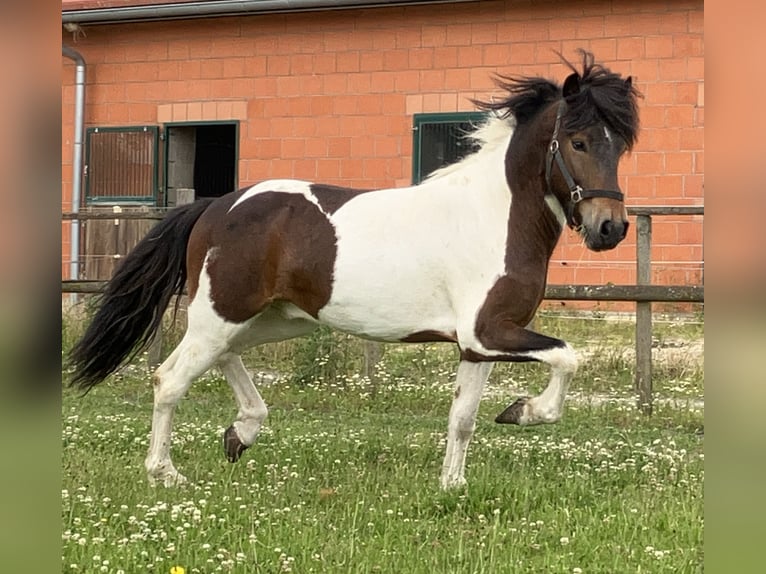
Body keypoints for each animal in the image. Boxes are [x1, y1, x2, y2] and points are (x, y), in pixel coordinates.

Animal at [69, 50, 639, 489]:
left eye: (621, 145)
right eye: (578, 142)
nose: (610, 228)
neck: (492, 214)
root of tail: (215, 208)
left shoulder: (479, 343)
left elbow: (463, 418)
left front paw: (453, 485)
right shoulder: (490, 331)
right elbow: (568, 358)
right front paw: (522, 411)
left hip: (268, 319)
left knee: (222, 359)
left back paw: (240, 433)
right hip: (224, 312)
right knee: (170, 379)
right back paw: (166, 473)